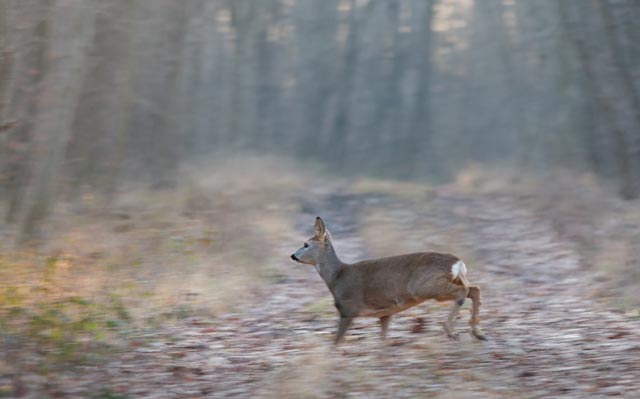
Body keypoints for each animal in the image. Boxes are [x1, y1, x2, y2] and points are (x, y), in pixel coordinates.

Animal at [290, 217, 484, 346]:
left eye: (306, 244)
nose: (293, 255)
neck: (336, 276)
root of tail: (457, 263)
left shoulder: (347, 309)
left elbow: (336, 342)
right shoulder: (385, 313)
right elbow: (383, 341)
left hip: (423, 287)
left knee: (463, 291)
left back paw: (451, 331)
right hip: (442, 283)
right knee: (474, 288)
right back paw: (477, 333)